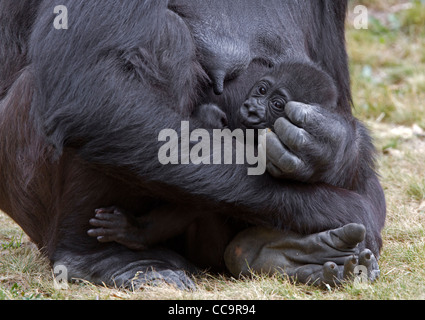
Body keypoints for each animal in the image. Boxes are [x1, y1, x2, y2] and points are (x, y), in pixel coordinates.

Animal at [0, 0, 384, 288]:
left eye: (275, 102)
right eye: (261, 90)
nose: (253, 108)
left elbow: (336, 96)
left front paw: (330, 146)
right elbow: (91, 88)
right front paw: (343, 209)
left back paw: (279, 253)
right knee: (161, 38)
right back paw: (99, 257)